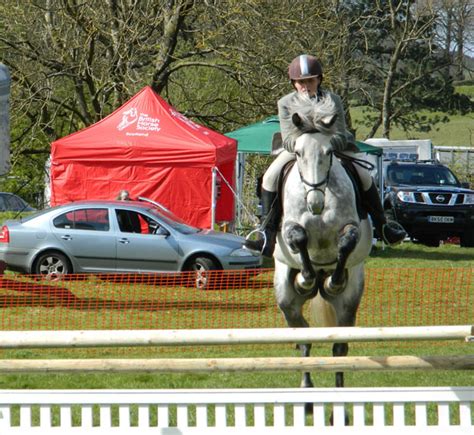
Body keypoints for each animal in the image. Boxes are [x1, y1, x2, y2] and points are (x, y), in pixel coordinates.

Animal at [274, 95, 374, 396]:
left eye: (329, 153)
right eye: (297, 154)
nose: (315, 204)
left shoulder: (351, 226)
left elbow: (346, 242)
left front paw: (334, 280)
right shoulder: (290, 226)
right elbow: (299, 239)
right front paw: (305, 279)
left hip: (349, 302)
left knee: (340, 346)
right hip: (286, 299)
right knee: (304, 339)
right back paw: (306, 387)